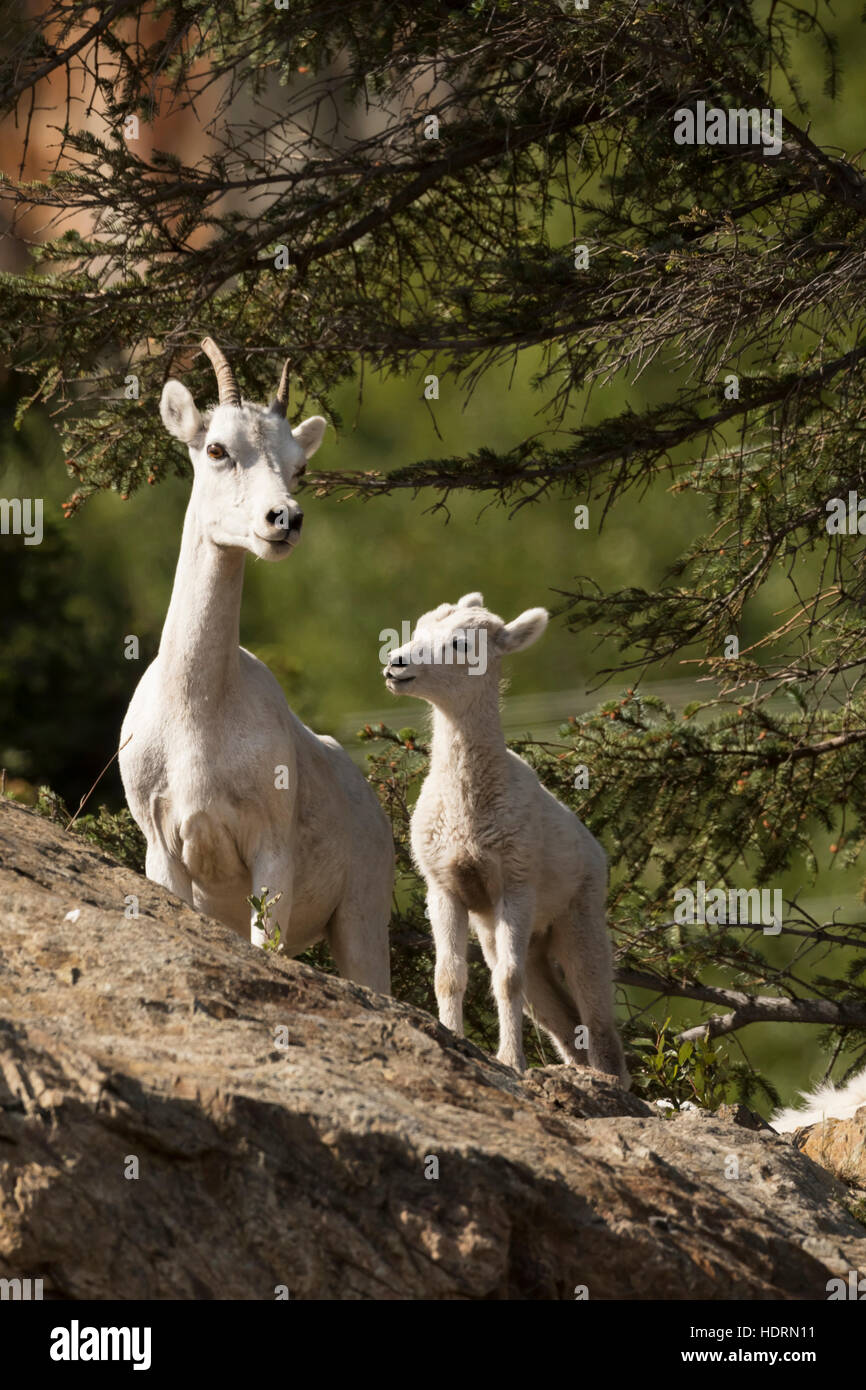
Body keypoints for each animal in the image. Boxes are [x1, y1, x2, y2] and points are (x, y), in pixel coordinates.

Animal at [119, 339, 393, 990]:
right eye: (217, 448)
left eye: (298, 468)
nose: (284, 520)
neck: (198, 718)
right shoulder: (164, 852)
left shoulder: (271, 854)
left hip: (361, 924)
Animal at [382, 591, 628, 1082]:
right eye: (418, 629)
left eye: (461, 644)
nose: (396, 663)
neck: (467, 814)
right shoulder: (443, 886)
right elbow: (449, 976)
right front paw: (454, 1038)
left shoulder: (516, 883)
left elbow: (506, 981)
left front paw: (511, 1062)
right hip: (512, 938)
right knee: (558, 1014)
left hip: (581, 915)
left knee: (594, 1013)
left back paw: (611, 1081)